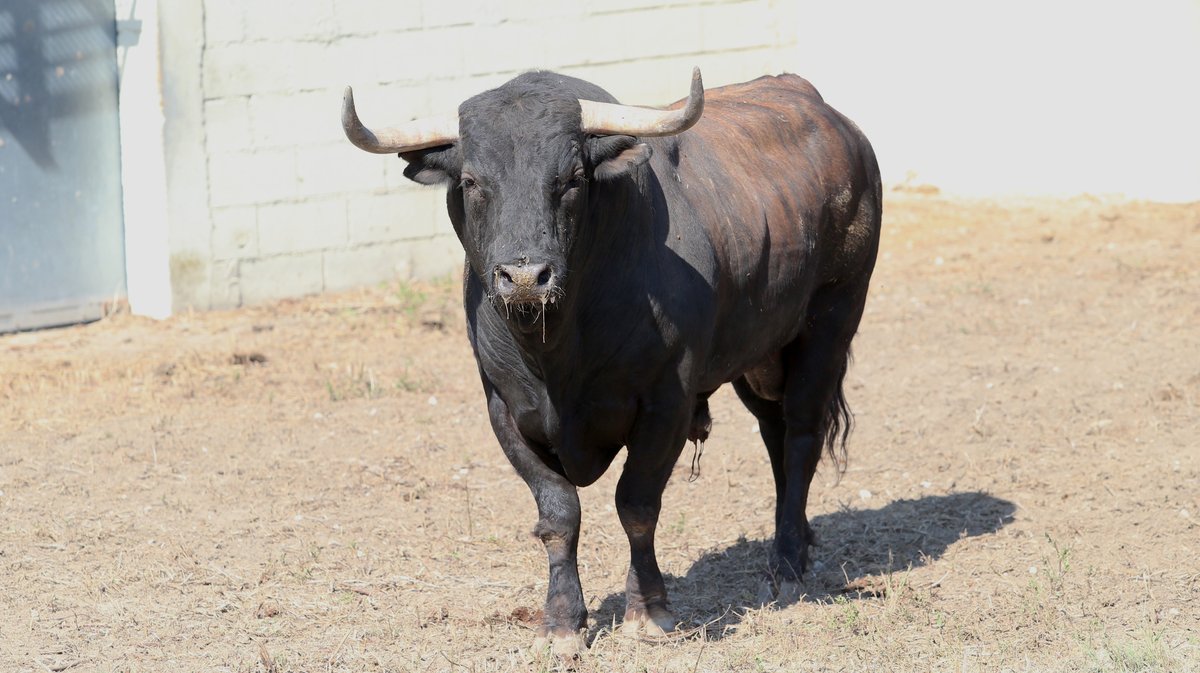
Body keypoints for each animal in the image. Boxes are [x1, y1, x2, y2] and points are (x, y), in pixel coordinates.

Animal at [340, 65, 883, 652]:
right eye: (471, 182)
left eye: (574, 178)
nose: (526, 277)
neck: (557, 353)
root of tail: (825, 111)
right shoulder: (504, 408)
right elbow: (559, 512)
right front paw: (561, 623)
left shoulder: (667, 402)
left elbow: (637, 505)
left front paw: (649, 611)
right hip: (760, 353)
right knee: (775, 435)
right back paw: (797, 542)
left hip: (830, 321)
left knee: (802, 436)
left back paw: (785, 568)